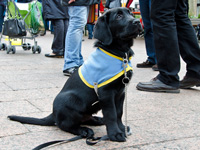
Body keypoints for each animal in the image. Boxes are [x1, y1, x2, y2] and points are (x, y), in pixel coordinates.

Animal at [7, 7, 142, 142]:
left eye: (130, 13)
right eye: (118, 16)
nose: (137, 22)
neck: (120, 53)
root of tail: (53, 113)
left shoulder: (121, 93)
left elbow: (119, 113)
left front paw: (122, 129)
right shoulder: (106, 93)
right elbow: (112, 114)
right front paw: (115, 134)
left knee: (84, 119)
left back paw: (98, 120)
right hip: (70, 99)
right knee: (64, 124)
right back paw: (84, 131)